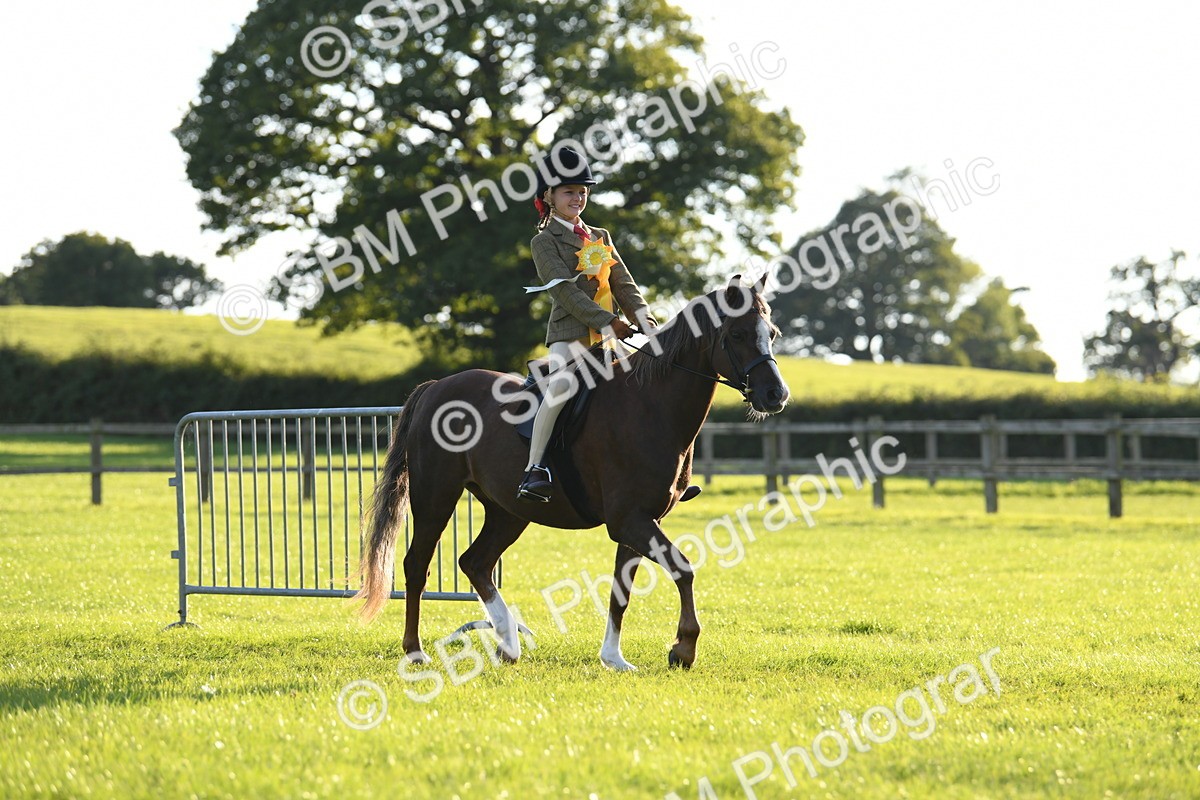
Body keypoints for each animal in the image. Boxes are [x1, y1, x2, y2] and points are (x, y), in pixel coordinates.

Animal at [354, 274, 790, 670]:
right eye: (737, 334)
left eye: (771, 333)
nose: (776, 395)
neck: (650, 406)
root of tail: (436, 387)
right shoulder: (629, 520)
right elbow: (682, 569)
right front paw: (683, 648)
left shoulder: (638, 521)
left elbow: (620, 592)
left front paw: (614, 658)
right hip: (436, 497)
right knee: (417, 565)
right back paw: (416, 651)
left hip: (508, 511)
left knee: (475, 562)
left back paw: (508, 644)